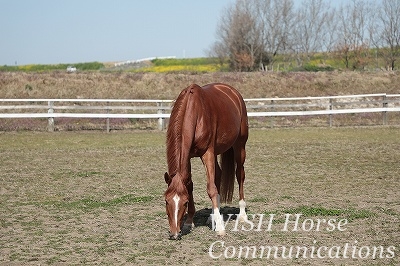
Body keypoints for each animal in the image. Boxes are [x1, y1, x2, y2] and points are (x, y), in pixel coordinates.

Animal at [163, 82, 247, 239]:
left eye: (184, 203)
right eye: (166, 201)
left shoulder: (207, 153)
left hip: (240, 146)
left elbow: (211, 189)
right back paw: (212, 216)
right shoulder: (189, 156)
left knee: (240, 175)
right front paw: (189, 222)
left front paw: (220, 228)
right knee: (218, 174)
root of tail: (232, 91)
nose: (174, 234)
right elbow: (190, 185)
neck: (195, 112)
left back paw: (242, 214)